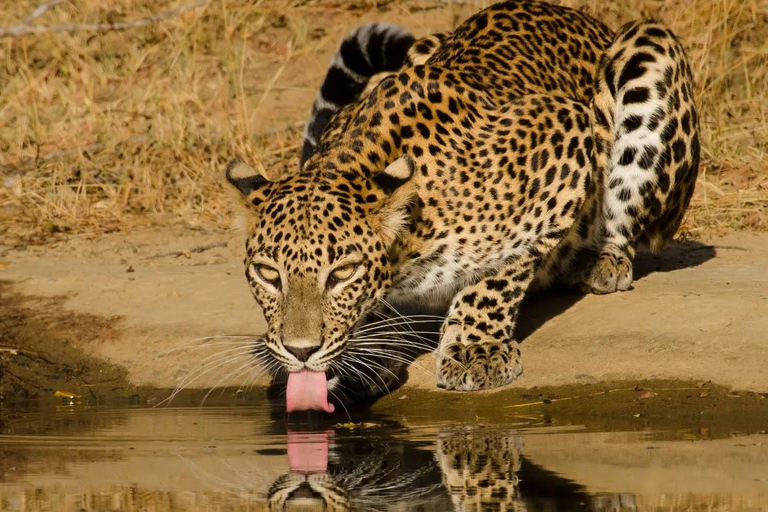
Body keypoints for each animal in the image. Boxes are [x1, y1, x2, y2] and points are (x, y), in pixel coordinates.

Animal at [224, 0, 704, 408]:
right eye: (268, 274)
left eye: (342, 274)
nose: (300, 351)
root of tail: (586, 18)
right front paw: (371, 352)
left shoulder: (564, 134)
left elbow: (499, 271)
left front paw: (477, 349)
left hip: (650, 50)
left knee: (626, 224)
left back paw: (599, 264)